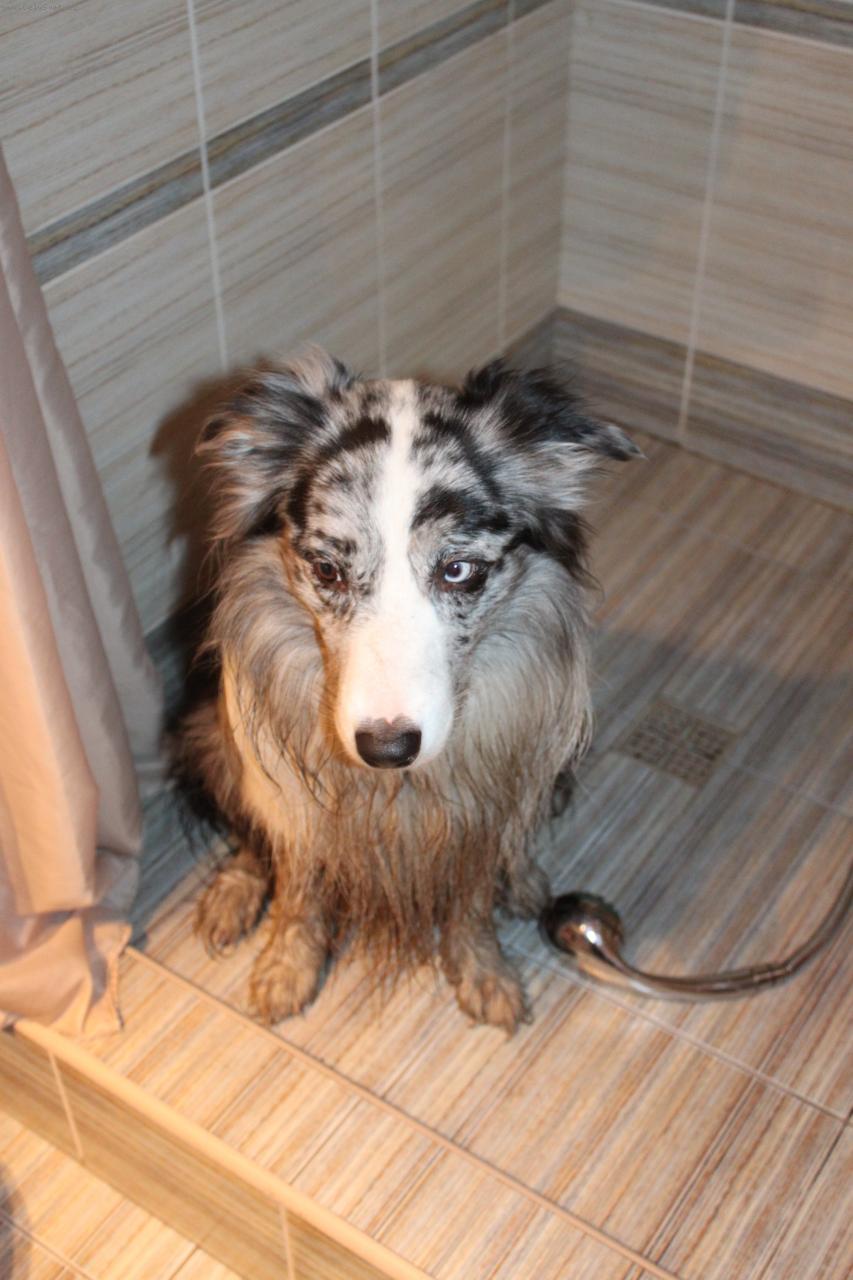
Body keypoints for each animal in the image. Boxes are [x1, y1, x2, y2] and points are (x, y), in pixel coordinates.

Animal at [176, 349, 638, 1033]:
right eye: (327, 570)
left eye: (458, 570)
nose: (387, 748)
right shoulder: (294, 784)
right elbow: (298, 883)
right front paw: (286, 969)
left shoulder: (486, 792)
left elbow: (471, 892)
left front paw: (484, 972)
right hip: (209, 733)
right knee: (250, 834)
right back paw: (232, 895)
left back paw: (525, 879)